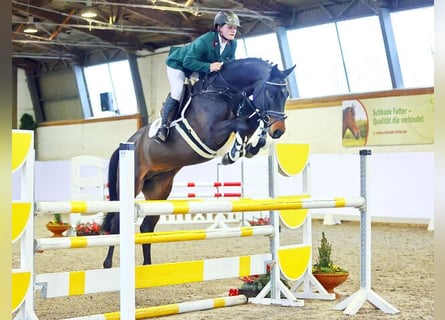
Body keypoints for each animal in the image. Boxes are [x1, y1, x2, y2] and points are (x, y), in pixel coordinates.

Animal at [101, 57, 294, 268]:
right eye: (270, 93)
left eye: (286, 94)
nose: (279, 131)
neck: (223, 92)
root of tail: (127, 143)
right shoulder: (209, 135)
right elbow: (242, 124)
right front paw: (235, 152)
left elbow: (251, 122)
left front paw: (251, 147)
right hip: (132, 184)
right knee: (116, 224)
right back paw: (108, 264)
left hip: (158, 190)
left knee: (146, 227)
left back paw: (148, 267)